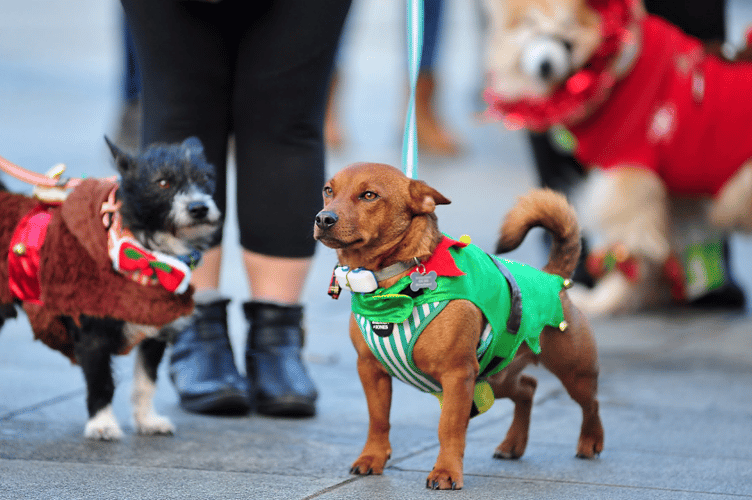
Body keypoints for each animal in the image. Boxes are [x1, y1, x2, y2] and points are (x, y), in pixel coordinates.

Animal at [0, 136, 222, 438]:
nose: (199, 207)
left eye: (206, 178)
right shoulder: (92, 334)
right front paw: (102, 424)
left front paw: (147, 420)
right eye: (162, 182)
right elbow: (101, 383)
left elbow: (145, 382)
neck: (144, 256)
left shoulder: (153, 330)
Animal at [312, 163, 604, 488]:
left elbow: (449, 428)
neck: (393, 287)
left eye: (369, 195)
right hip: (495, 378)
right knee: (528, 388)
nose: (323, 218)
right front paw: (372, 458)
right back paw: (513, 444)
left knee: (591, 403)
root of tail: (553, 277)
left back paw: (590, 442)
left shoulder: (457, 375)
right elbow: (378, 420)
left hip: (573, 372)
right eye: (328, 190)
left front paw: (446, 471)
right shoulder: (370, 370)